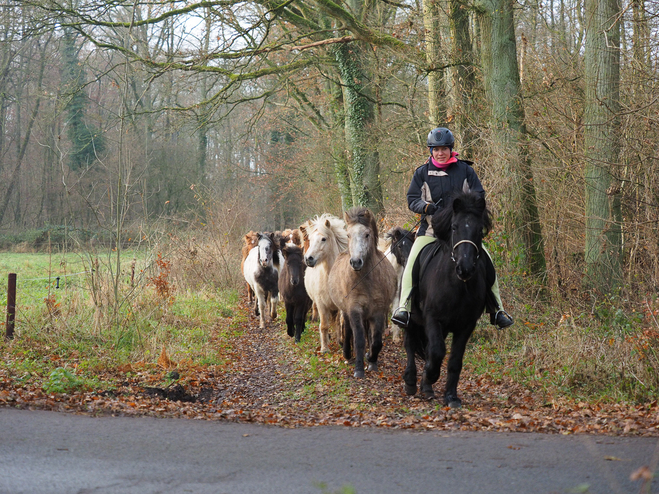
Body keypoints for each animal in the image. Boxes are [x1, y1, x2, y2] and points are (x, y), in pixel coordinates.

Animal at [300, 214, 348, 354]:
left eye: (323, 239)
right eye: (310, 239)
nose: (308, 259)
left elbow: (339, 322)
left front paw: (341, 342)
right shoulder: (322, 305)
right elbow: (324, 326)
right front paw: (324, 348)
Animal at [328, 206, 398, 376]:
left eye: (367, 234)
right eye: (348, 235)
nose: (355, 262)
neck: (365, 281)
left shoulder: (378, 311)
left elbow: (377, 340)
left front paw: (371, 360)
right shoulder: (354, 309)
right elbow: (359, 338)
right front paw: (359, 369)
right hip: (345, 311)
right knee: (347, 329)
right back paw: (347, 354)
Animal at [404, 187, 492, 408]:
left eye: (479, 230)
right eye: (454, 227)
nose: (465, 268)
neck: (458, 286)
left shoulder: (466, 325)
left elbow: (453, 360)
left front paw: (451, 396)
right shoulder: (432, 319)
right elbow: (436, 352)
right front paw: (430, 375)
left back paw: (426, 387)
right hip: (411, 319)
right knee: (410, 345)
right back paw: (410, 382)